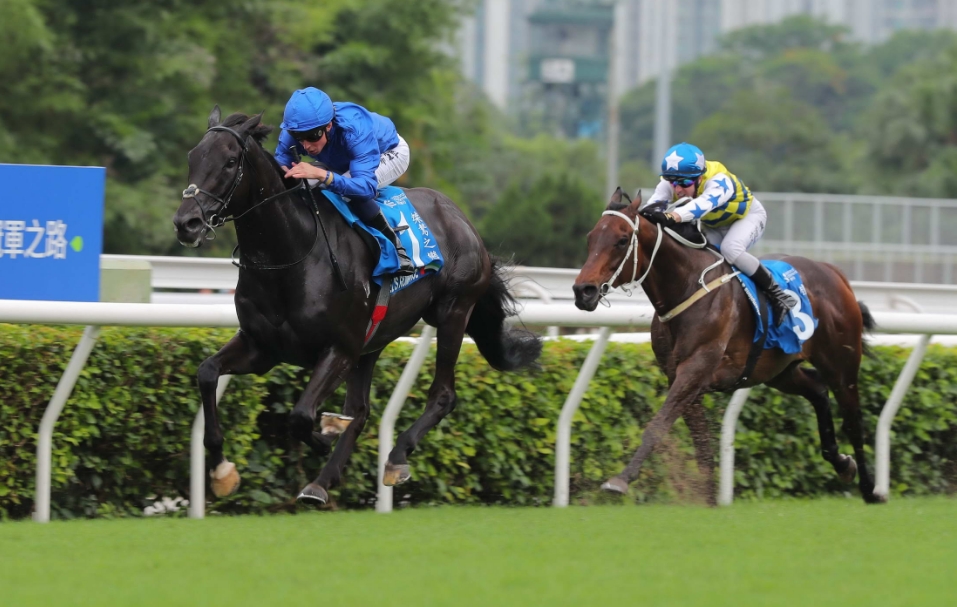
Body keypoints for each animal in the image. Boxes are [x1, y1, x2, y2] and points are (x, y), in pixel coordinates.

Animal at [172, 107, 540, 506]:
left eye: (229, 162)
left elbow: (301, 415)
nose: (186, 223)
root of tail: (463, 221)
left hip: (453, 312)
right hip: (374, 339)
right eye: (192, 158)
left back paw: (395, 457)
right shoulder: (262, 348)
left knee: (442, 395)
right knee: (361, 411)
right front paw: (222, 470)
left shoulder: (339, 348)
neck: (292, 255)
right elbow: (207, 373)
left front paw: (322, 437)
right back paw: (321, 482)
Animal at [572, 188, 876, 506]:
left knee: (853, 420)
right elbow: (701, 444)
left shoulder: (695, 371)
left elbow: (658, 426)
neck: (688, 287)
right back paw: (842, 464)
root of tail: (835, 272)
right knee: (817, 390)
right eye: (591, 238)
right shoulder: (682, 378)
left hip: (841, 364)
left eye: (621, 240)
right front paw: (709, 499)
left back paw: (870, 488)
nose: (583, 291)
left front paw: (619, 481)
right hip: (779, 370)